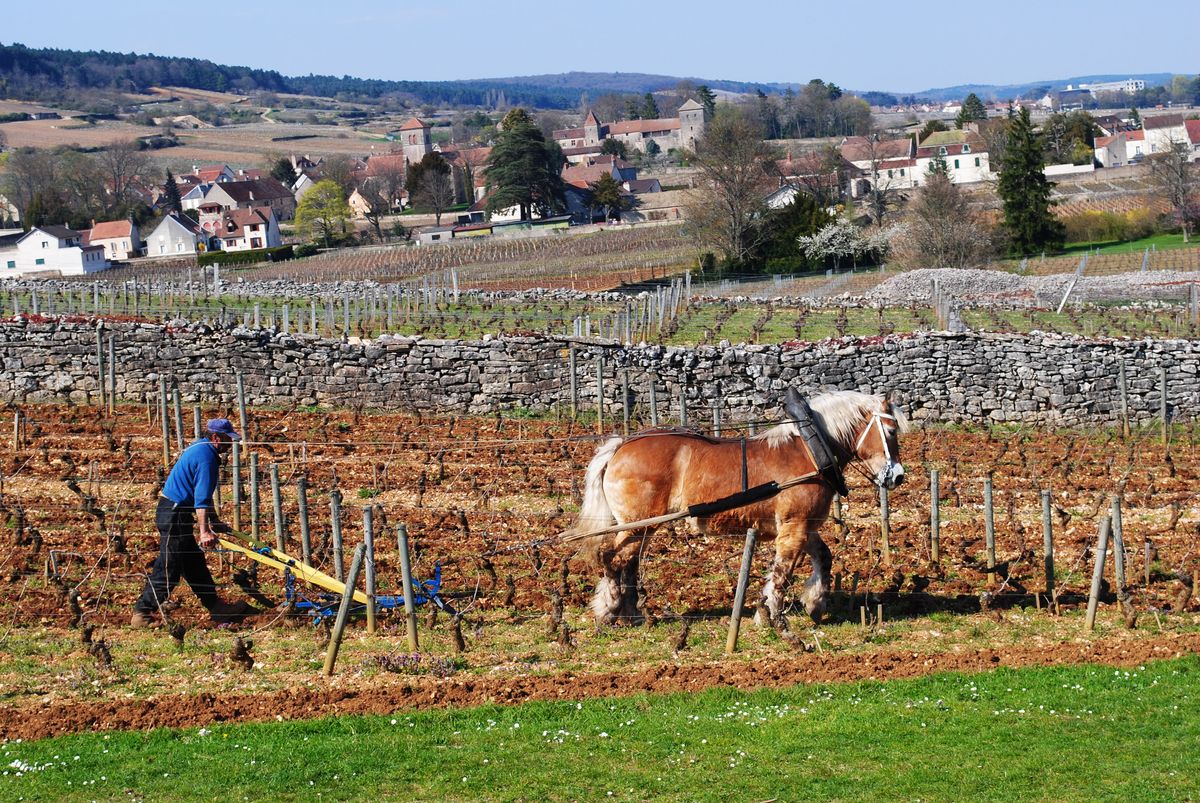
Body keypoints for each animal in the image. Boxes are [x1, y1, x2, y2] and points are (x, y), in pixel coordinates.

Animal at [565, 388, 907, 627]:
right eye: (891, 432)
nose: (898, 476)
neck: (809, 451)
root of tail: (621, 445)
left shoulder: (802, 526)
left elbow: (823, 558)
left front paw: (813, 603)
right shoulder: (794, 526)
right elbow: (782, 571)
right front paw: (771, 616)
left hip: (642, 526)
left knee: (627, 562)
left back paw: (630, 613)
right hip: (640, 522)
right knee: (613, 558)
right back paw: (610, 610)